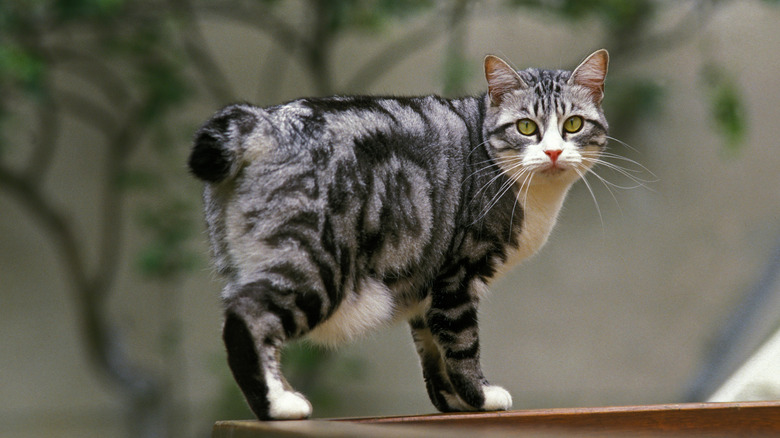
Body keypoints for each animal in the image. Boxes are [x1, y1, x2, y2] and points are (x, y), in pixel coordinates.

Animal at [189, 48, 608, 420]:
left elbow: (433, 347)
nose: (553, 153)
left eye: (573, 124)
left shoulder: (427, 284)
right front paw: (480, 396)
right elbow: (461, 341)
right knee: (247, 317)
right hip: (315, 261)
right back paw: (278, 405)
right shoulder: (458, 274)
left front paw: (453, 401)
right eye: (526, 127)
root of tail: (264, 120)